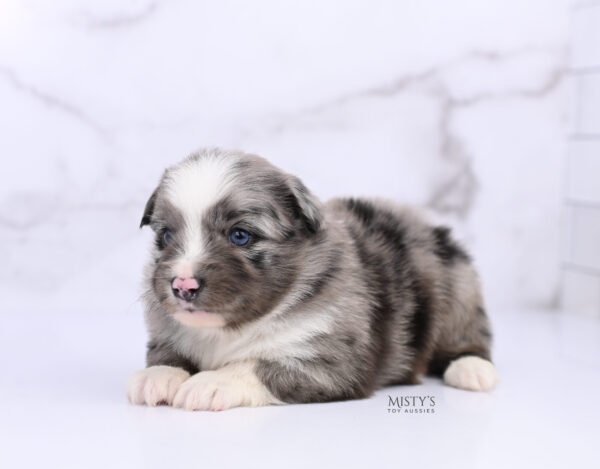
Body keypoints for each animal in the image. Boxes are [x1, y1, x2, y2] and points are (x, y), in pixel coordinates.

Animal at [126, 147, 496, 410]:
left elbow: (256, 365)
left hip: (457, 291)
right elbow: (167, 354)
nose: (182, 286)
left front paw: (210, 383)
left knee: (468, 338)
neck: (230, 331)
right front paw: (157, 375)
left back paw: (472, 369)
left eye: (240, 236)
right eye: (165, 236)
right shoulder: (168, 333)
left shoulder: (332, 361)